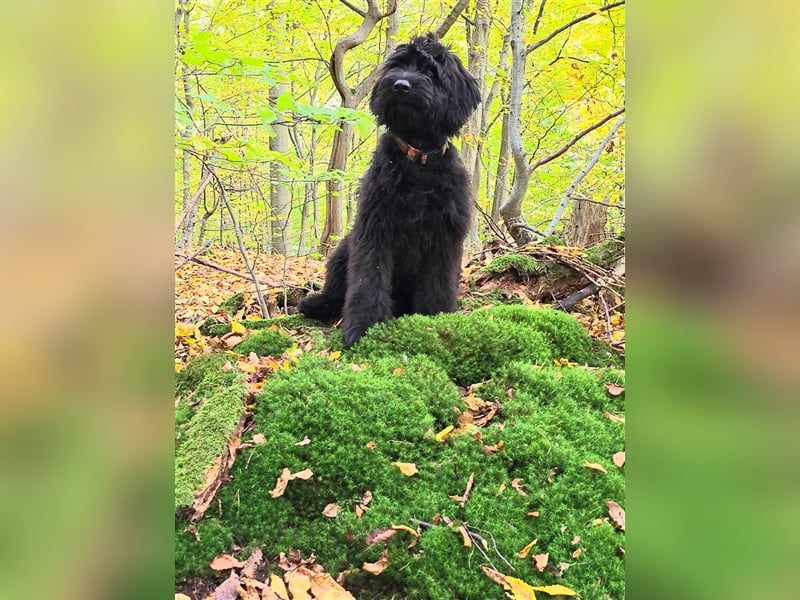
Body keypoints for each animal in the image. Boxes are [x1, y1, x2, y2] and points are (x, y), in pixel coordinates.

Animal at [298, 34, 476, 346]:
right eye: (397, 65)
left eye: (430, 71)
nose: (400, 85)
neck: (418, 160)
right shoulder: (375, 230)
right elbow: (368, 282)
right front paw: (362, 329)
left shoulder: (445, 238)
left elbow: (438, 285)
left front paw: (433, 321)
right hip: (343, 248)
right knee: (336, 289)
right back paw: (318, 304)